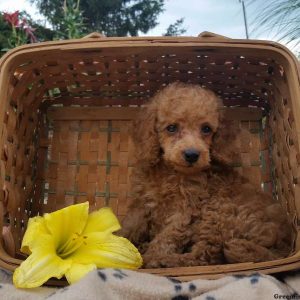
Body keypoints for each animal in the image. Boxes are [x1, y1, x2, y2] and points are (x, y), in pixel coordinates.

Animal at [120, 82, 292, 270]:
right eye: (171, 128)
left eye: (206, 129)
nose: (192, 154)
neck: (171, 172)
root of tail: (283, 245)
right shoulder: (142, 204)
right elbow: (129, 225)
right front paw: (117, 238)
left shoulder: (184, 211)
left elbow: (167, 237)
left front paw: (152, 256)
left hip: (220, 213)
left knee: (205, 255)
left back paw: (164, 260)